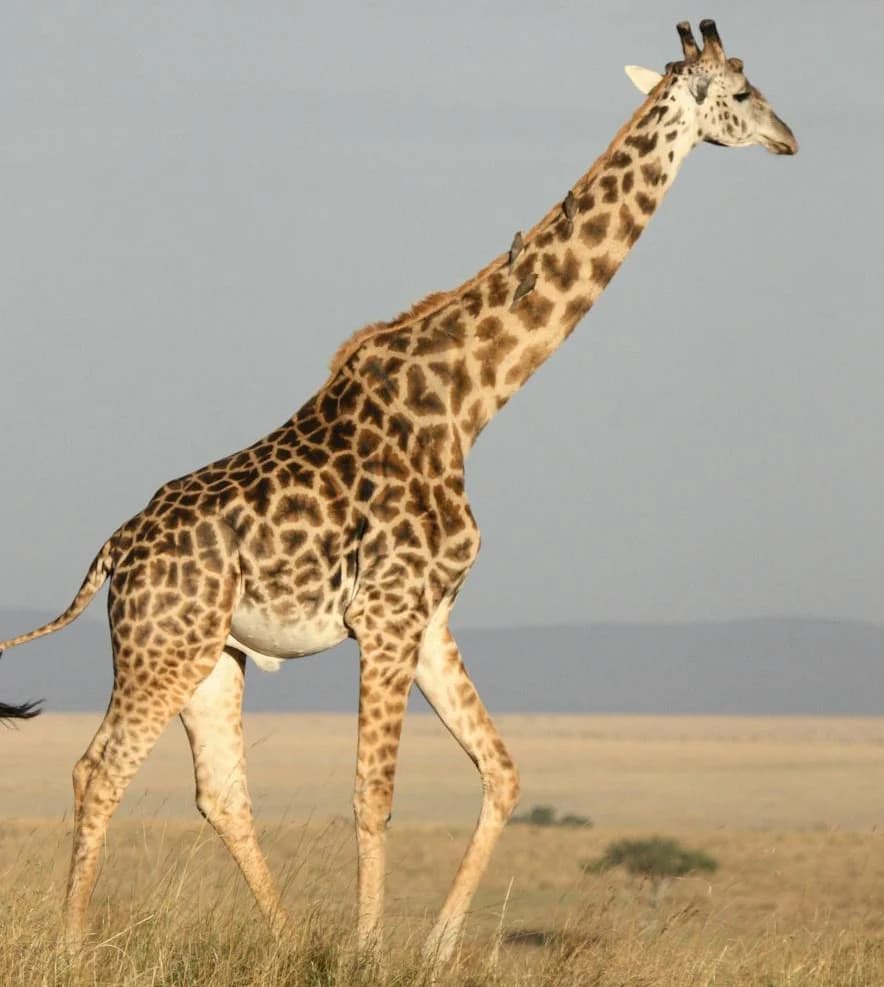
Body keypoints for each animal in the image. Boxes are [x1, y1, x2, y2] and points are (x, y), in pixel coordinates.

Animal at [0, 20, 796, 962]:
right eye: (742, 94)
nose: (790, 138)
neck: (469, 402)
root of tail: (113, 552)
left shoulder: (430, 615)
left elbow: (503, 770)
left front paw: (436, 946)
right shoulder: (385, 613)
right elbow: (372, 795)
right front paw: (369, 948)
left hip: (212, 655)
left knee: (220, 791)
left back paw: (286, 939)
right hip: (161, 647)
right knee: (98, 768)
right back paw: (73, 947)